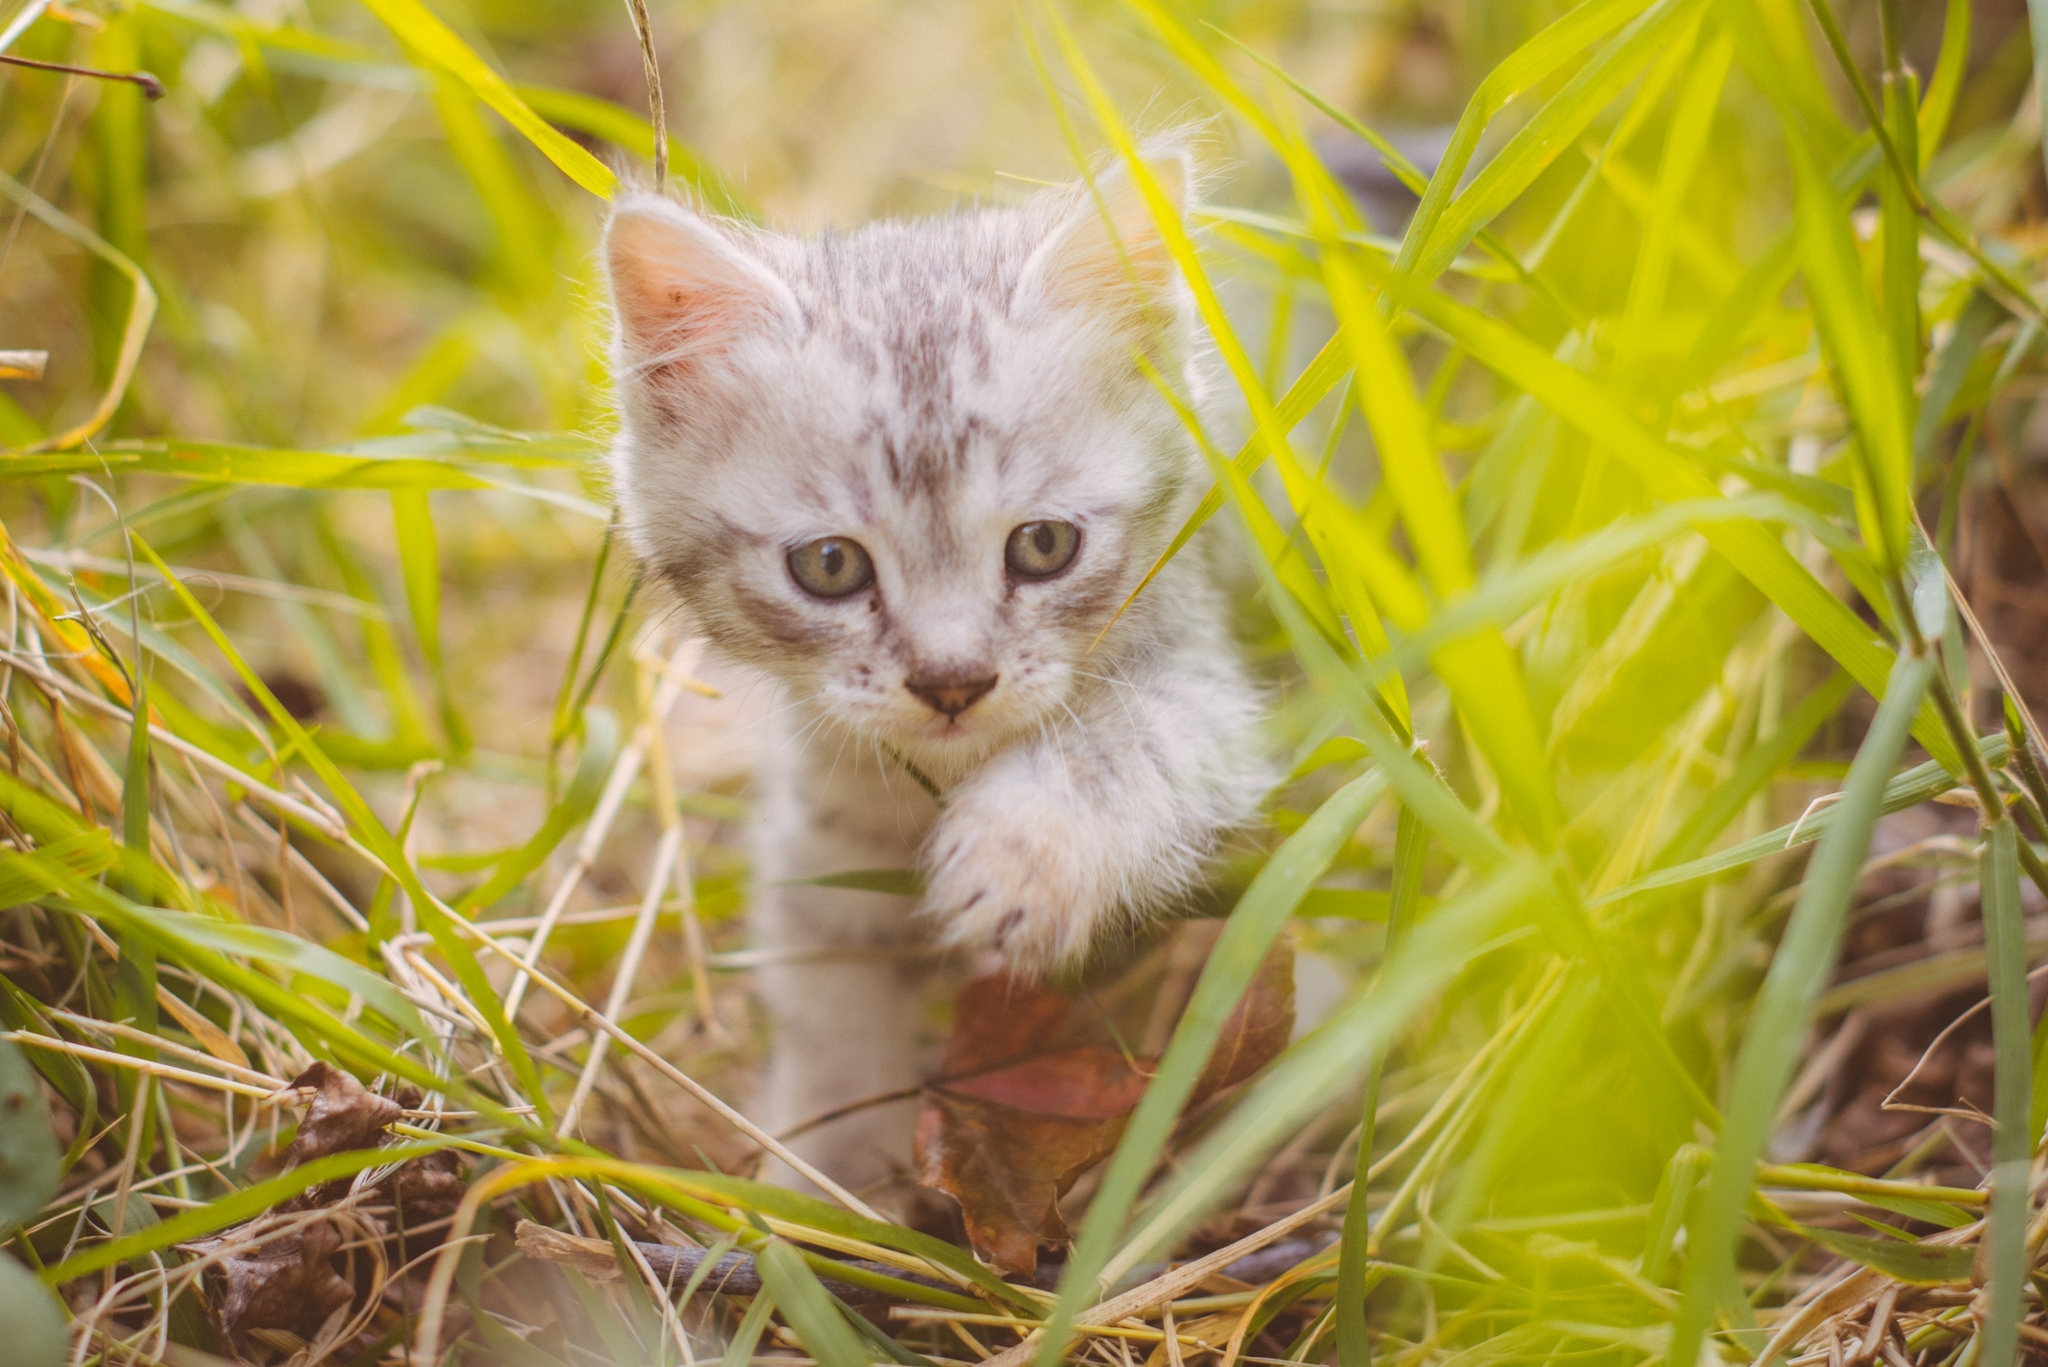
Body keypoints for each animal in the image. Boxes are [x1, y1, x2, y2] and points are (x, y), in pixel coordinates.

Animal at [602, 152, 1261, 1196]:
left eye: (1043, 545)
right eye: (830, 565)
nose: (954, 680)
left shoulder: (1206, 680)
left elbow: (1127, 746)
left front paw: (1024, 857)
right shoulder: (824, 827)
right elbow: (832, 995)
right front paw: (831, 1178)